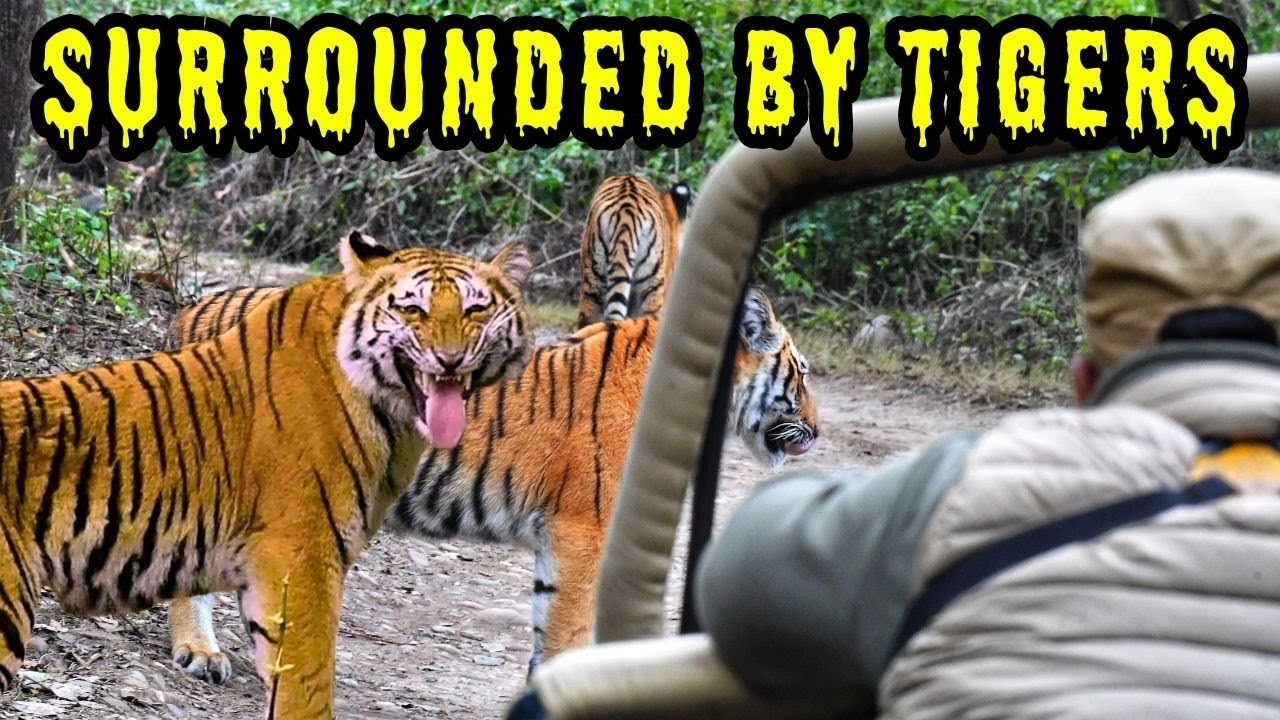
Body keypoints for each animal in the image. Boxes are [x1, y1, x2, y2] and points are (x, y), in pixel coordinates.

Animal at [165, 282, 819, 683]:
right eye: (804, 372)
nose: (816, 430)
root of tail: (197, 307)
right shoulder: (582, 528)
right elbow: (567, 628)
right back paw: (199, 652)